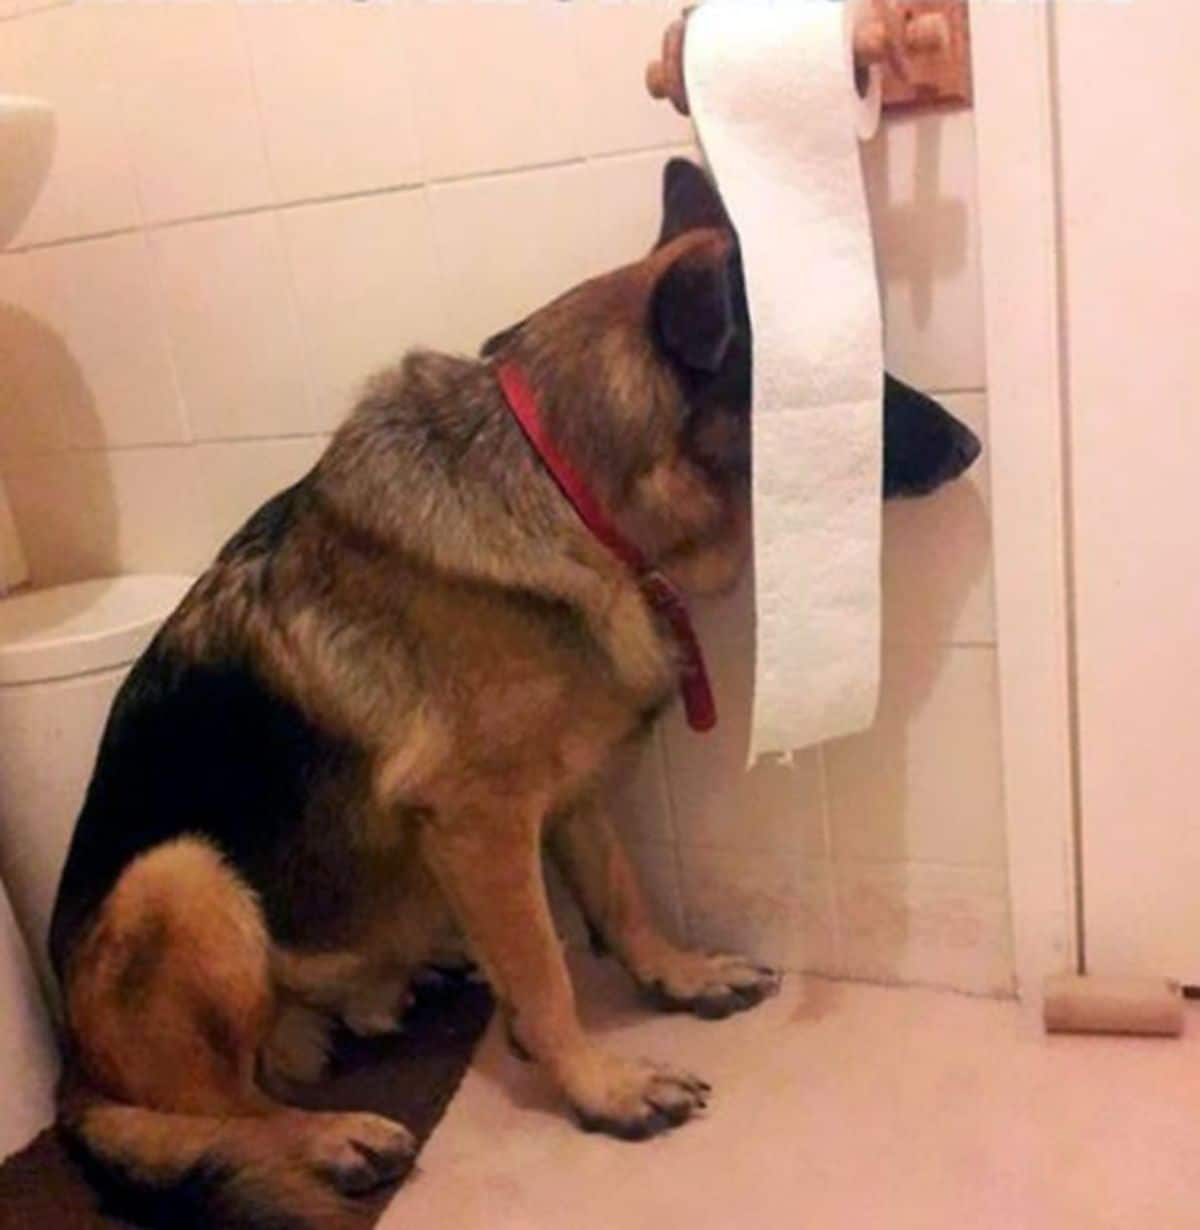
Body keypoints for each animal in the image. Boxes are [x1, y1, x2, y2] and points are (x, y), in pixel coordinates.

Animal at [49, 158, 983, 1225]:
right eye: (846, 385)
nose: (972, 446)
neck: (569, 493)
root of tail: (71, 1064)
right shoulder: (480, 822)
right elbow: (543, 969)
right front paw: (600, 1085)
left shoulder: (572, 789)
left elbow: (621, 897)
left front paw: (678, 975)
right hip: (180, 878)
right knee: (211, 1110)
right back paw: (328, 1136)